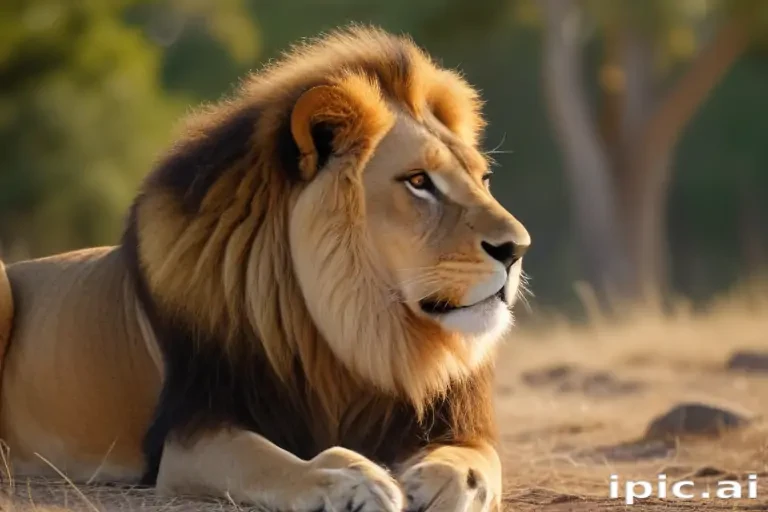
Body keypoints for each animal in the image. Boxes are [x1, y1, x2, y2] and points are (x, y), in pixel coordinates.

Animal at [0, 26, 530, 511]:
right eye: (419, 182)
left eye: (483, 178)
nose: (517, 248)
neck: (356, 329)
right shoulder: (191, 433)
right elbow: (271, 462)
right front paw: (352, 481)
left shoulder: (459, 423)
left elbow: (477, 464)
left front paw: (439, 481)